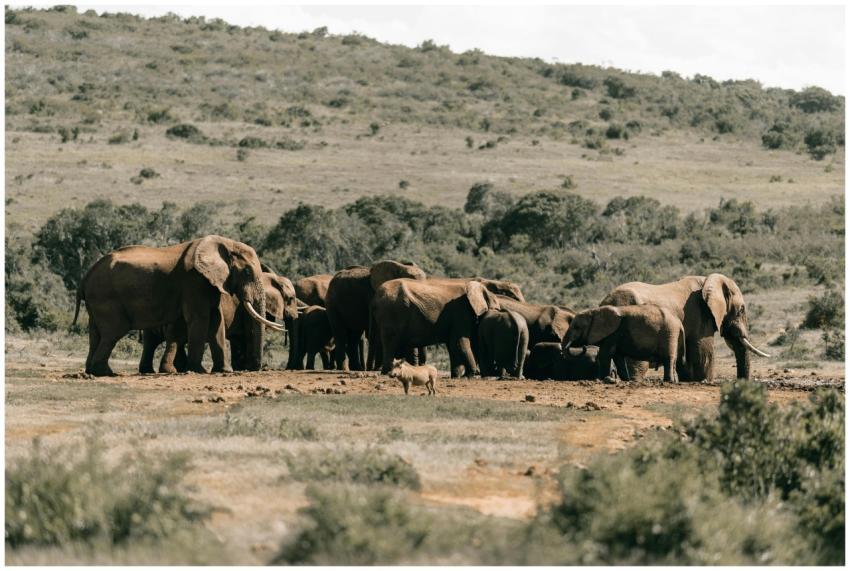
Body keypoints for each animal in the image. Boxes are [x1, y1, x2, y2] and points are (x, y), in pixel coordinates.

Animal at [138, 269, 297, 373]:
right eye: (290, 299)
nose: (262, 367)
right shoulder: (244, 308)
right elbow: (249, 333)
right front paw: (249, 367)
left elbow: (239, 338)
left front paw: (241, 367)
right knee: (169, 338)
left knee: (152, 341)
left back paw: (152, 370)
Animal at [371, 277, 503, 378]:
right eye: (495, 309)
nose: (494, 372)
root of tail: (376, 297)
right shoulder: (461, 313)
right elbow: (459, 342)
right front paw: (471, 375)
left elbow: (452, 345)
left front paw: (456, 376)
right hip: (392, 312)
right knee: (390, 341)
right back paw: (388, 372)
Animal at [601, 274, 770, 381]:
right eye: (741, 310)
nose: (740, 383)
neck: (708, 280)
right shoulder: (700, 315)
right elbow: (703, 354)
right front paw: (703, 381)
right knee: (637, 364)